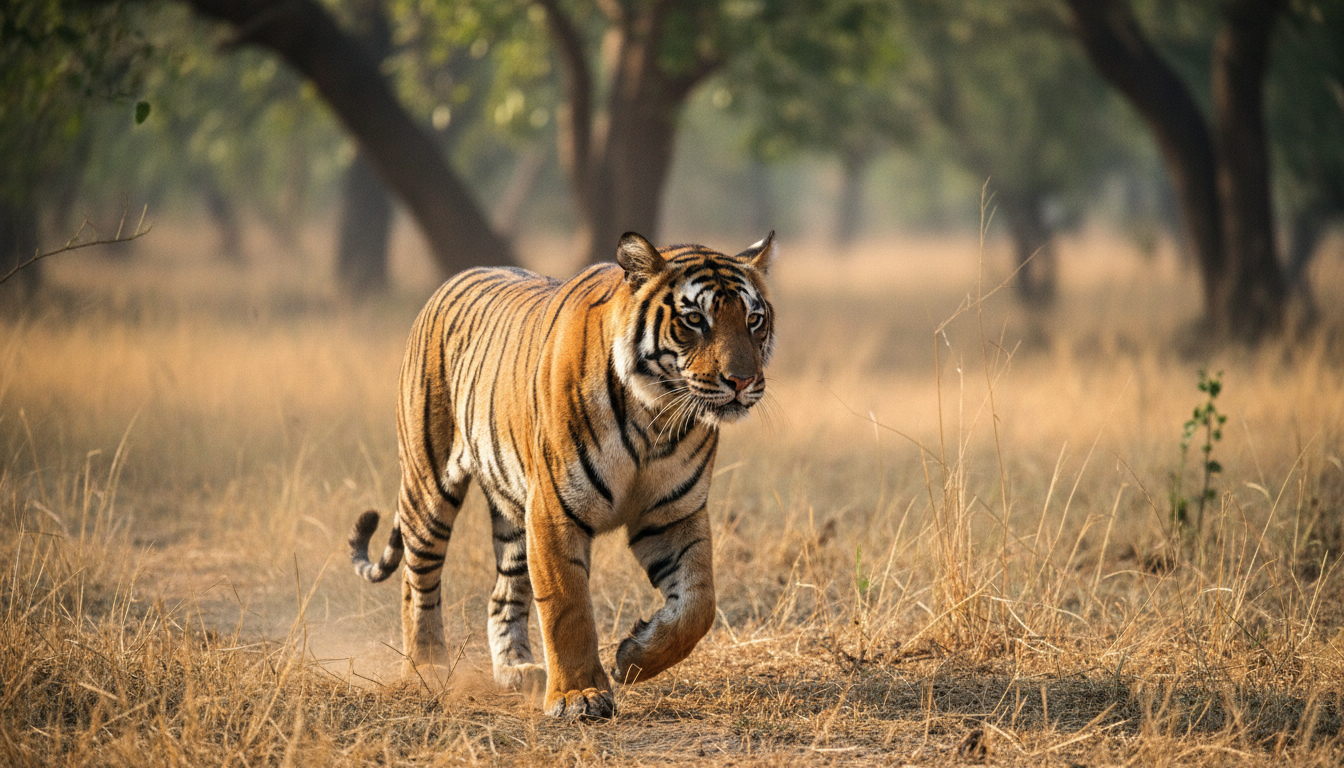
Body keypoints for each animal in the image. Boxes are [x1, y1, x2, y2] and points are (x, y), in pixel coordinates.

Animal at [349, 231, 776, 719]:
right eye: (694, 320)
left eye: (754, 319)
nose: (742, 381)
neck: (655, 417)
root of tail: (449, 283)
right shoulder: (555, 511)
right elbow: (566, 608)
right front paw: (578, 697)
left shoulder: (673, 514)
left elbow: (699, 604)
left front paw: (635, 657)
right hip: (429, 485)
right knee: (417, 581)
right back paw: (428, 670)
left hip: (515, 515)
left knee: (502, 595)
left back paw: (518, 671)